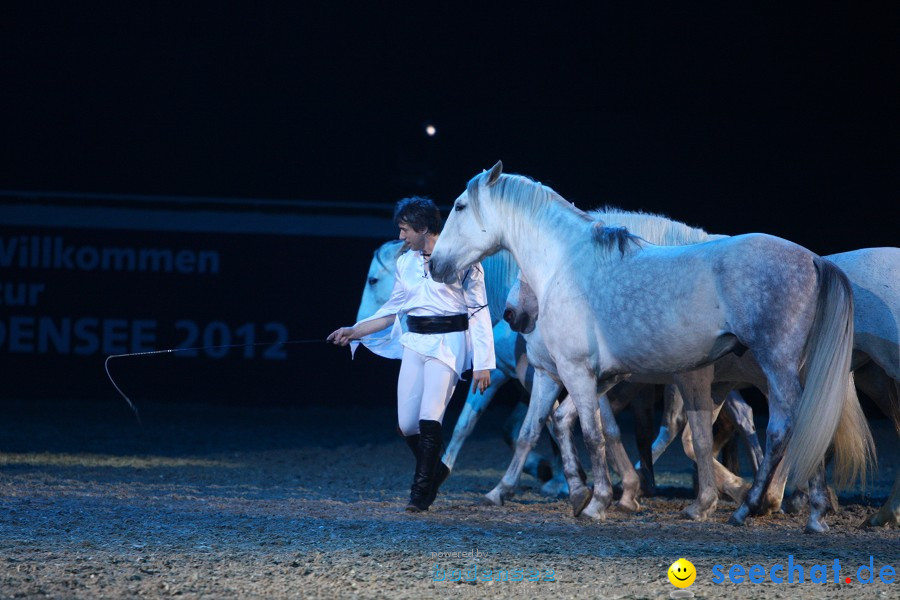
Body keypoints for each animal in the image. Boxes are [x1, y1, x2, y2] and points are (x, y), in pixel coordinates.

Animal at [432, 163, 876, 528]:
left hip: (776, 365)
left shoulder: (578, 372)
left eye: (459, 206)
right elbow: (560, 423)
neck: (566, 265)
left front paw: (598, 501)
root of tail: (814, 260)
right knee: (806, 423)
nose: (435, 265)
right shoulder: (588, 376)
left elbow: (592, 434)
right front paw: (581, 493)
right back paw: (806, 508)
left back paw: (753, 504)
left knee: (785, 425)